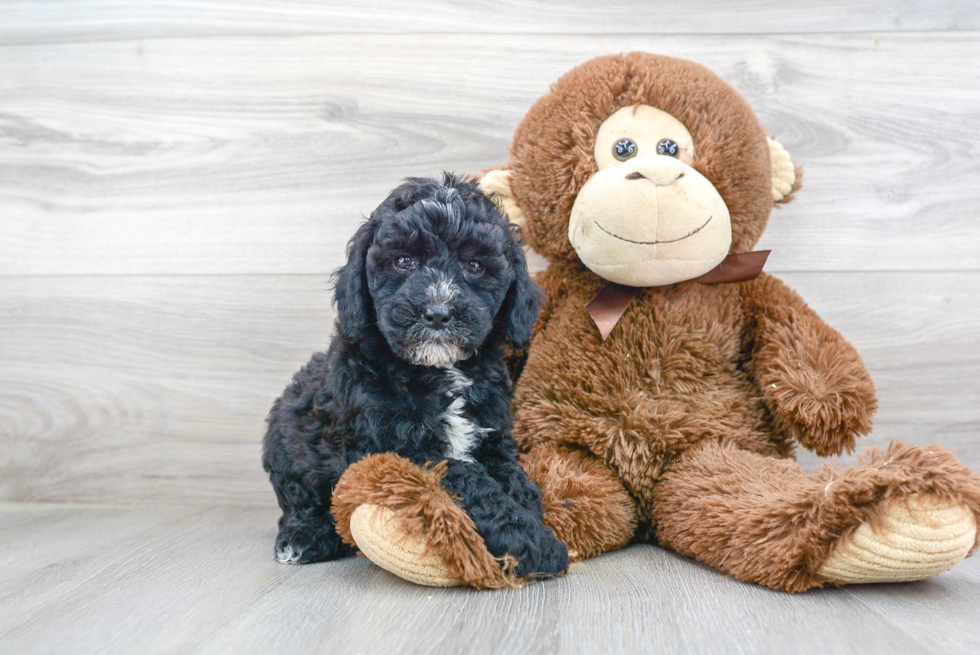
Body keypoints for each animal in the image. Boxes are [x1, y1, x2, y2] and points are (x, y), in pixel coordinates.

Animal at [260, 173, 572, 580]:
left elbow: (513, 480)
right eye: (404, 261)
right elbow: (471, 481)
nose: (437, 313)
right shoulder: (402, 448)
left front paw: (534, 515)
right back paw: (303, 539)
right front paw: (533, 543)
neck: (438, 371)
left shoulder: (491, 434)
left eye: (474, 265)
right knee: (302, 504)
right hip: (285, 440)